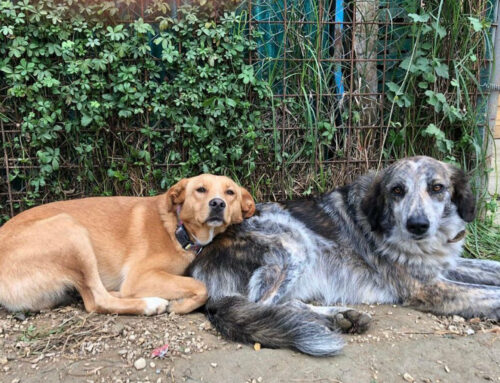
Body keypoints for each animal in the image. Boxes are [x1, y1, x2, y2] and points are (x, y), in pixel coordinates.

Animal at [0, 176, 254, 316]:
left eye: (230, 192)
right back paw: (151, 304)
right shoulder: (139, 277)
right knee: (97, 301)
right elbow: (202, 287)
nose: (218, 203)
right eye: (200, 189)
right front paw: (180, 306)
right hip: (71, 229)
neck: (177, 228)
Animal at [188, 157, 500, 356]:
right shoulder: (427, 287)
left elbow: (492, 267)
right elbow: (490, 294)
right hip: (294, 244)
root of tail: (201, 259)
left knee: (283, 305)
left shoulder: (442, 268)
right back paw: (331, 319)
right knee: (264, 306)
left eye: (437, 188)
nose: (418, 225)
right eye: (397, 190)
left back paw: (341, 317)